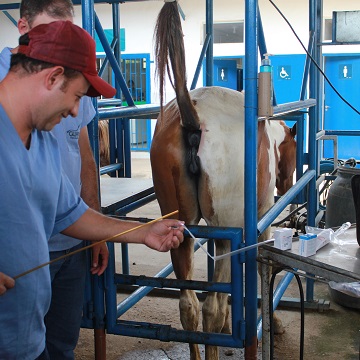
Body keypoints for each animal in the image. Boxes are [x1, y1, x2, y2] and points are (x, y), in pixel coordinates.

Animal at [150, 1, 296, 358]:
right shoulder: (260, 221)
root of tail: (192, 114)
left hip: (182, 230)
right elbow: (260, 271)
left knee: (189, 306)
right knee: (209, 308)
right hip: (226, 232)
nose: (287, 185)